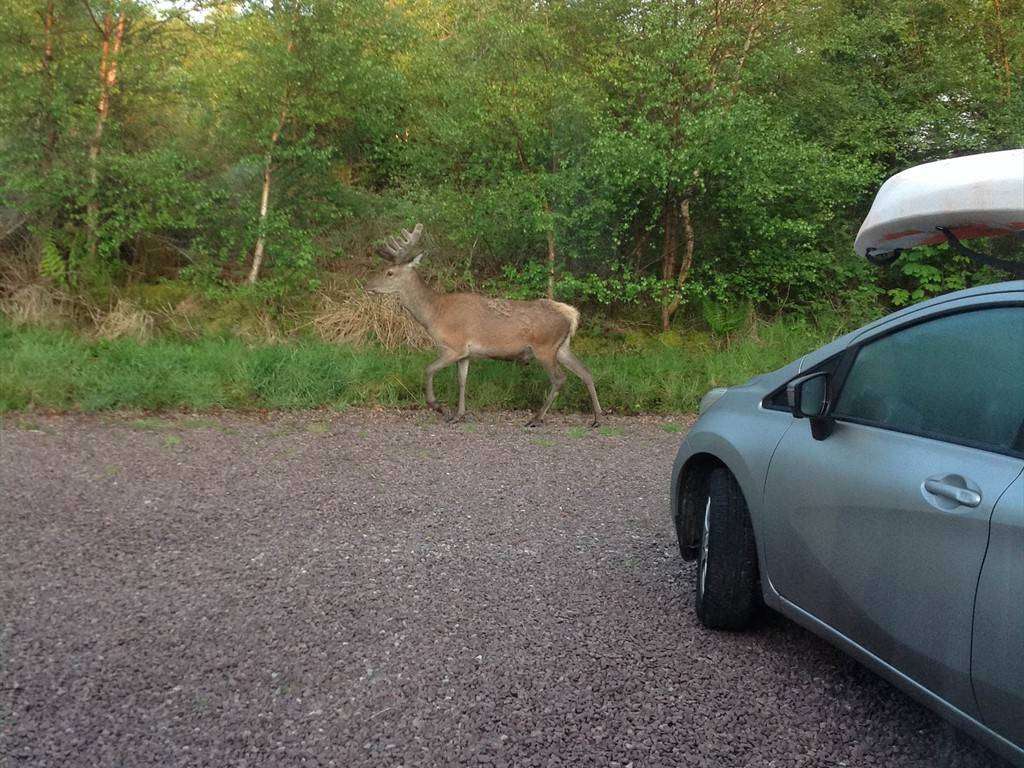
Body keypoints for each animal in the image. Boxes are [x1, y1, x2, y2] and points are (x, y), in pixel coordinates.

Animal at [366, 224, 598, 428]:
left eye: (389, 272)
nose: (368, 285)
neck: (434, 314)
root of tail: (570, 314)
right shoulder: (466, 353)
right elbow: (462, 381)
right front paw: (458, 415)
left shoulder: (454, 346)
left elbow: (428, 369)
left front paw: (438, 407)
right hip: (562, 347)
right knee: (586, 372)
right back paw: (596, 418)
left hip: (545, 347)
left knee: (559, 379)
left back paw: (536, 418)